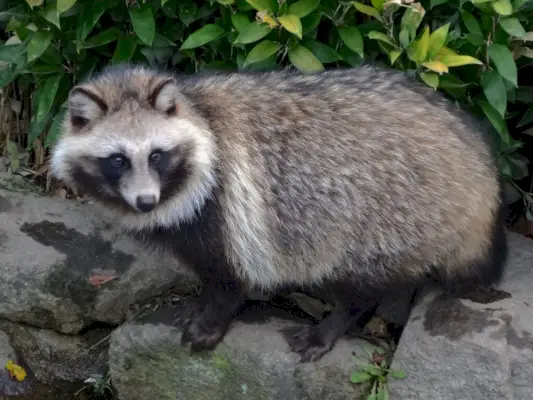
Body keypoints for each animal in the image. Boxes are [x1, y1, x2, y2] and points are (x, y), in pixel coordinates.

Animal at [50, 61, 508, 362]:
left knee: (358, 276)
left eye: (156, 155)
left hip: (389, 211)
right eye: (118, 160)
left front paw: (213, 316)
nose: (146, 201)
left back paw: (339, 319)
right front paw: (200, 301)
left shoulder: (226, 206)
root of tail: (477, 159)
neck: (198, 113)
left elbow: (231, 273)